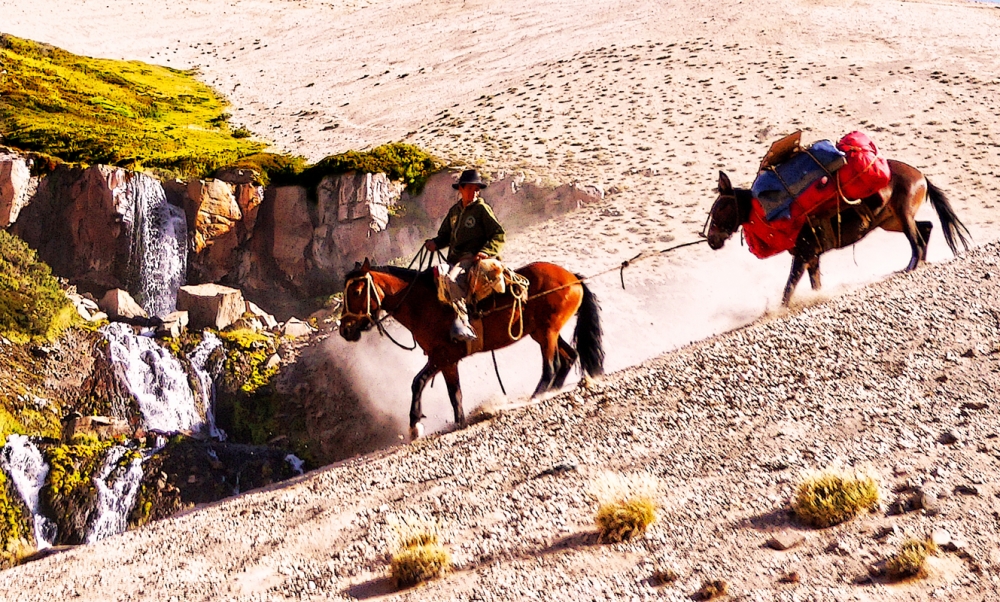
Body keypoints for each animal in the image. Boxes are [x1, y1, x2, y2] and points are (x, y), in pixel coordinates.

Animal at [338, 258, 600, 436]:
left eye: (357, 291)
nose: (345, 330)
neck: (423, 305)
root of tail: (572, 277)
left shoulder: (444, 356)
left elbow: (426, 385)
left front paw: (420, 424)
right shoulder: (443, 359)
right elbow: (447, 391)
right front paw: (453, 422)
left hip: (547, 332)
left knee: (551, 365)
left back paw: (533, 397)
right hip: (543, 332)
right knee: (569, 357)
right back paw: (551, 391)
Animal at [704, 158, 968, 302]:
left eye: (722, 207)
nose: (711, 240)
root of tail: (920, 174)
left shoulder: (804, 255)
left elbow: (788, 289)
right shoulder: (811, 257)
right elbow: (814, 284)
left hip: (902, 217)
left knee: (917, 241)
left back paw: (911, 267)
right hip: (891, 221)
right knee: (926, 228)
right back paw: (918, 263)